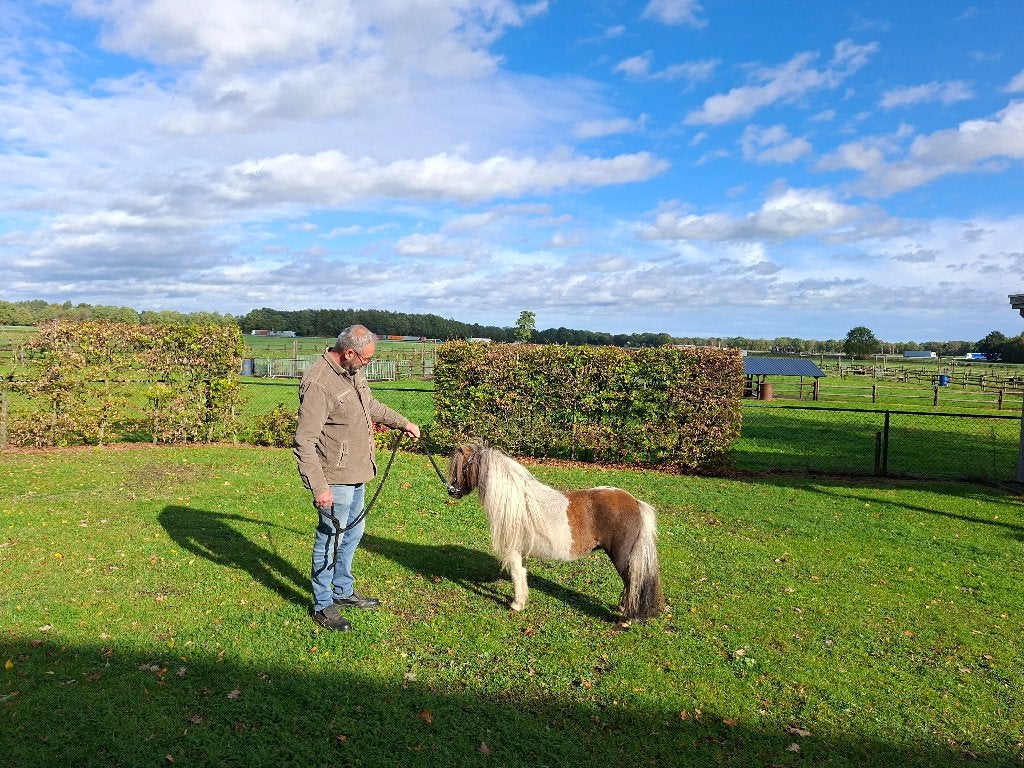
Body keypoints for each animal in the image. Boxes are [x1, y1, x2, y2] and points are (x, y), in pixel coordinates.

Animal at [446, 441, 664, 624]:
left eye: (460, 466)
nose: (450, 490)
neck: (517, 503)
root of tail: (636, 503)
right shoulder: (522, 552)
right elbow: (522, 575)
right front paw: (522, 601)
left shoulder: (514, 551)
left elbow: (516, 575)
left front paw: (516, 605)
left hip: (622, 557)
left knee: (633, 582)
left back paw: (626, 619)